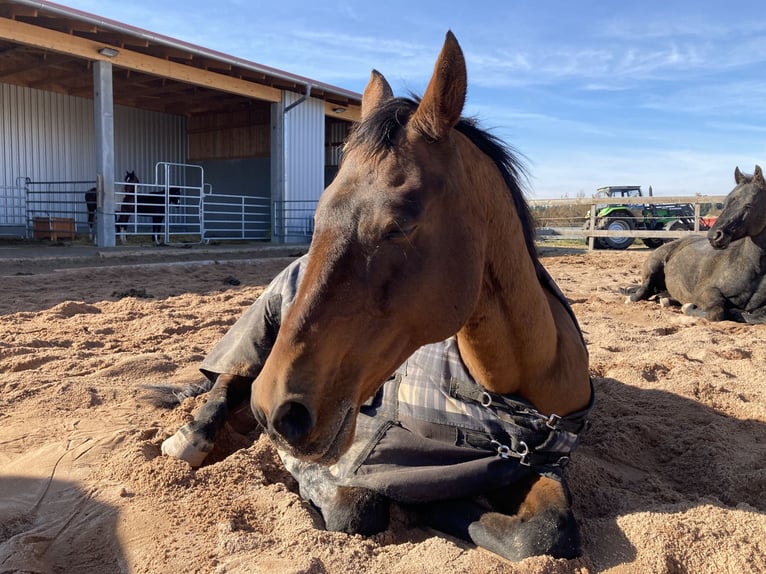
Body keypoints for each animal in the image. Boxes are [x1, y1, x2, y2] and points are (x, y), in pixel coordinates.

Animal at [154, 31, 592, 564]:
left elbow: (548, 532)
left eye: (398, 224)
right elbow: (358, 506)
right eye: (319, 214)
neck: (517, 382)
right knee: (227, 383)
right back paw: (193, 437)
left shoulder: (538, 464)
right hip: (259, 338)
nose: (276, 411)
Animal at [632, 166, 766, 324]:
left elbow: (758, 316)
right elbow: (716, 312)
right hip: (653, 267)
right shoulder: (706, 292)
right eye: (726, 202)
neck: (752, 266)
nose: (714, 236)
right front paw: (688, 307)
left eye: (749, 204)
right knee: (641, 292)